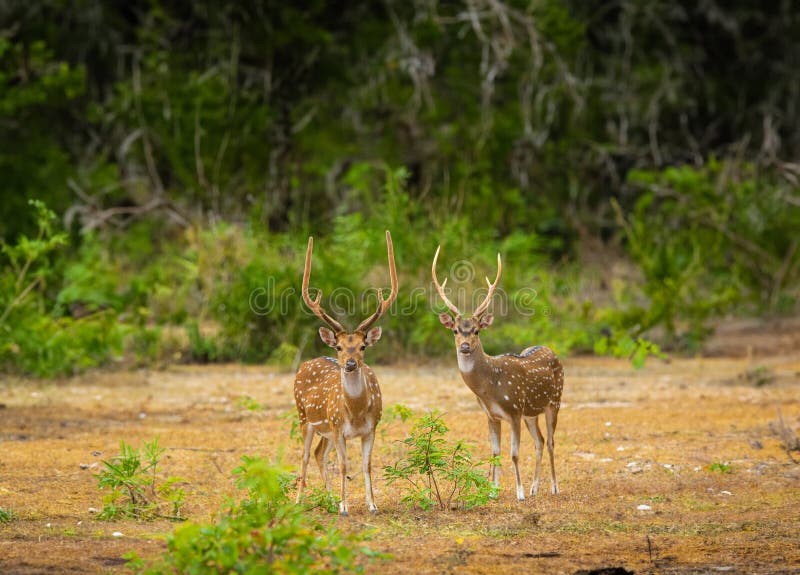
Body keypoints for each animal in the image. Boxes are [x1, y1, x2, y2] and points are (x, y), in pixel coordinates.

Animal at [294, 232, 396, 516]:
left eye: (362, 346)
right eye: (339, 346)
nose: (350, 363)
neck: (356, 412)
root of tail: (305, 364)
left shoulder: (371, 428)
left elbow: (366, 465)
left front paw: (372, 504)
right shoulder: (339, 427)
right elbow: (343, 465)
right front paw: (344, 506)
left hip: (326, 429)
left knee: (319, 454)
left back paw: (328, 499)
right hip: (305, 417)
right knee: (304, 456)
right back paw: (299, 500)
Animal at [432, 246, 564, 500]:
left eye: (476, 331)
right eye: (455, 330)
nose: (465, 346)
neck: (489, 388)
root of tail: (551, 350)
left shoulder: (513, 411)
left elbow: (514, 453)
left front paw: (519, 493)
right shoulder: (491, 415)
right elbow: (495, 452)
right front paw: (493, 492)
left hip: (554, 401)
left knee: (552, 441)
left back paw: (553, 487)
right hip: (531, 412)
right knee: (540, 441)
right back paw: (535, 488)